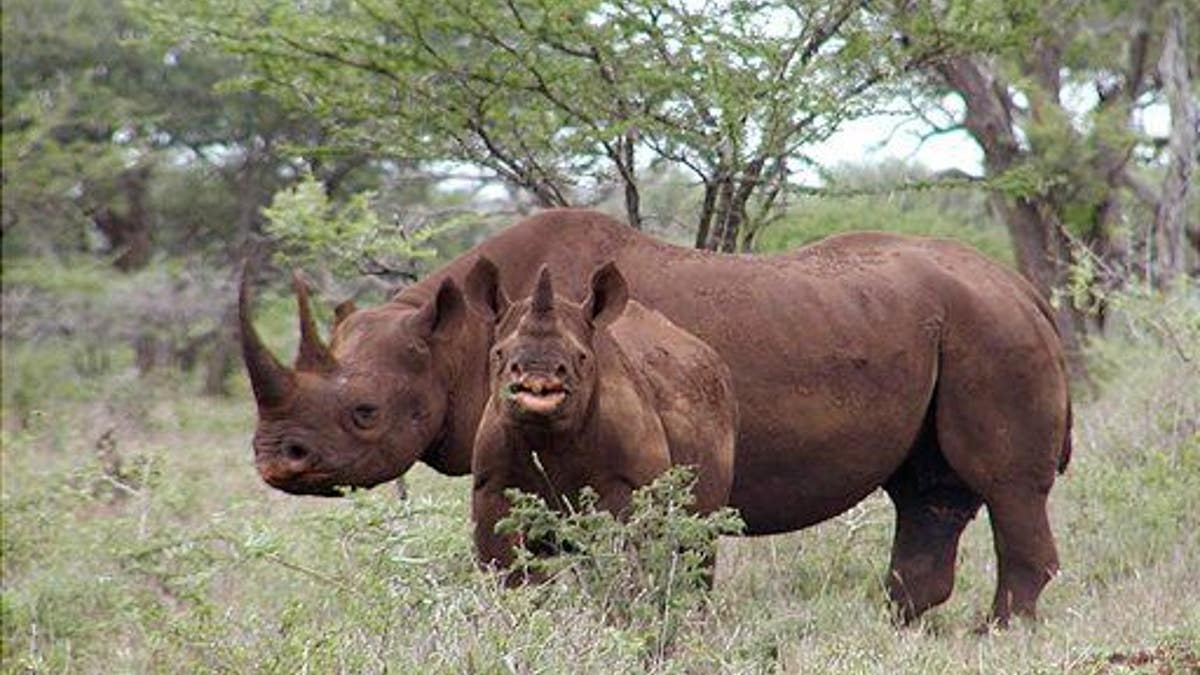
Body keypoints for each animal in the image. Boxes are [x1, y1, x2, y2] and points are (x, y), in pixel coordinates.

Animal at [470, 262, 736, 571]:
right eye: (498, 354)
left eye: (582, 357)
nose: (538, 375)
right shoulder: (492, 484)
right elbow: (507, 562)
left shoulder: (627, 482)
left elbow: (617, 551)